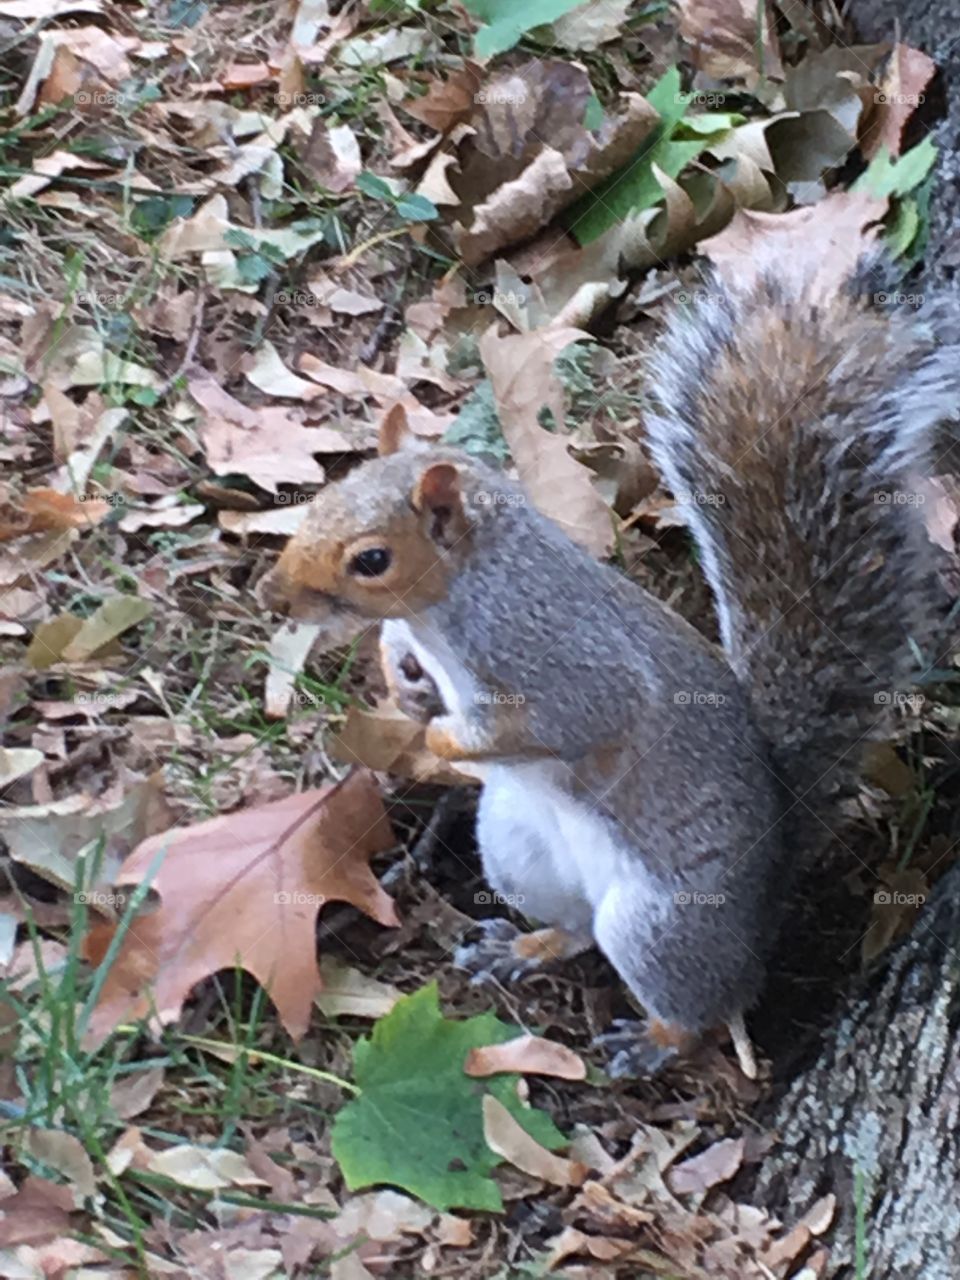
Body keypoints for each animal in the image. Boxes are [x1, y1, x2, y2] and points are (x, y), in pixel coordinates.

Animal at [257, 267, 958, 1078]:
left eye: (372, 559)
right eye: (323, 499)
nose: (274, 595)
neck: (457, 600)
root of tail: (774, 874)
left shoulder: (563, 658)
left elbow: (570, 719)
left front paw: (443, 741)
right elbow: (404, 652)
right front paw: (403, 680)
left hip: (662, 925)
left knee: (702, 1000)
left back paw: (656, 1040)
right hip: (517, 853)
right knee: (578, 928)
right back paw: (523, 945)